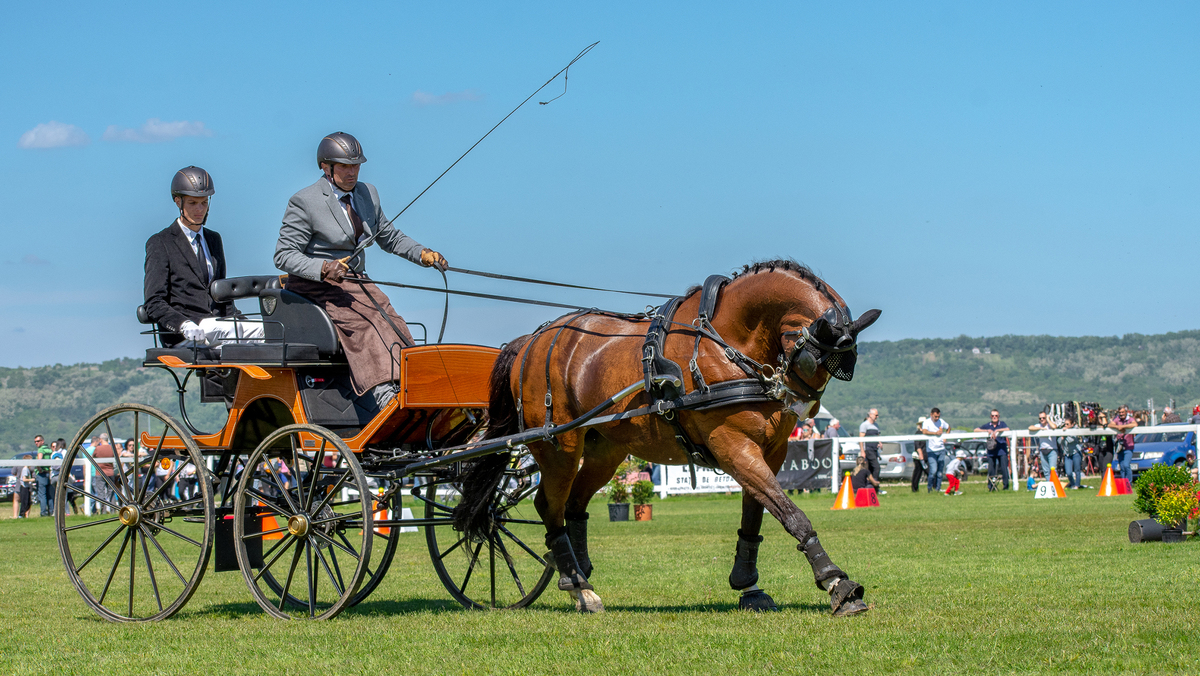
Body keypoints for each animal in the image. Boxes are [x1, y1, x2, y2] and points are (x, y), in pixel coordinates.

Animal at [457, 260, 880, 615]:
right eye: (815, 358)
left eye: (843, 365)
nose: (801, 405)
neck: (724, 341)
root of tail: (529, 342)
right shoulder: (732, 446)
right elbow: (791, 514)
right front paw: (837, 584)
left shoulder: (770, 450)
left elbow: (757, 512)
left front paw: (748, 585)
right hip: (558, 445)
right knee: (550, 506)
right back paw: (576, 584)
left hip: (604, 450)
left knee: (574, 504)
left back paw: (581, 576)